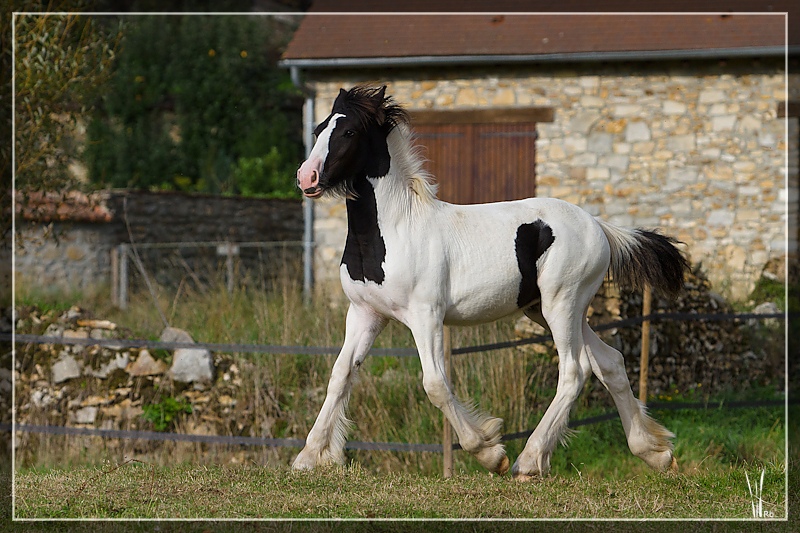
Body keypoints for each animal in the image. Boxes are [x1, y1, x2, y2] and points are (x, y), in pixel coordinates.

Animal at [294, 86, 688, 478]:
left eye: (349, 132)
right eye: (317, 130)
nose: (306, 178)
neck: (393, 230)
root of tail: (599, 226)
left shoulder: (426, 315)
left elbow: (435, 384)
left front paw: (488, 451)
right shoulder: (365, 314)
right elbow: (340, 374)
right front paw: (308, 457)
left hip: (562, 303)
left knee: (575, 371)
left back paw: (527, 461)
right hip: (549, 311)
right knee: (610, 362)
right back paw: (655, 453)